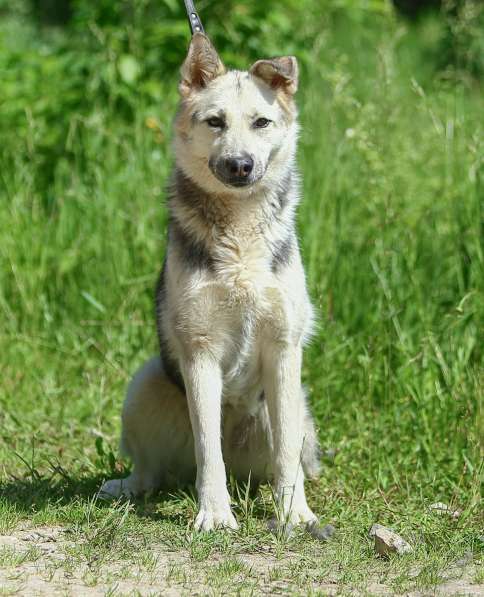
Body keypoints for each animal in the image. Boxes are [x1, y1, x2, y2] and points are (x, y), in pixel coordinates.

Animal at [100, 32, 322, 532]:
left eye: (261, 122)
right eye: (215, 122)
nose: (240, 165)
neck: (239, 235)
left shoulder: (283, 349)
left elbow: (285, 454)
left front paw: (294, 514)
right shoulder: (199, 351)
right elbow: (209, 451)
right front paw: (216, 515)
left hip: (298, 403)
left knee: (286, 458)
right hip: (143, 383)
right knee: (154, 470)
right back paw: (127, 486)